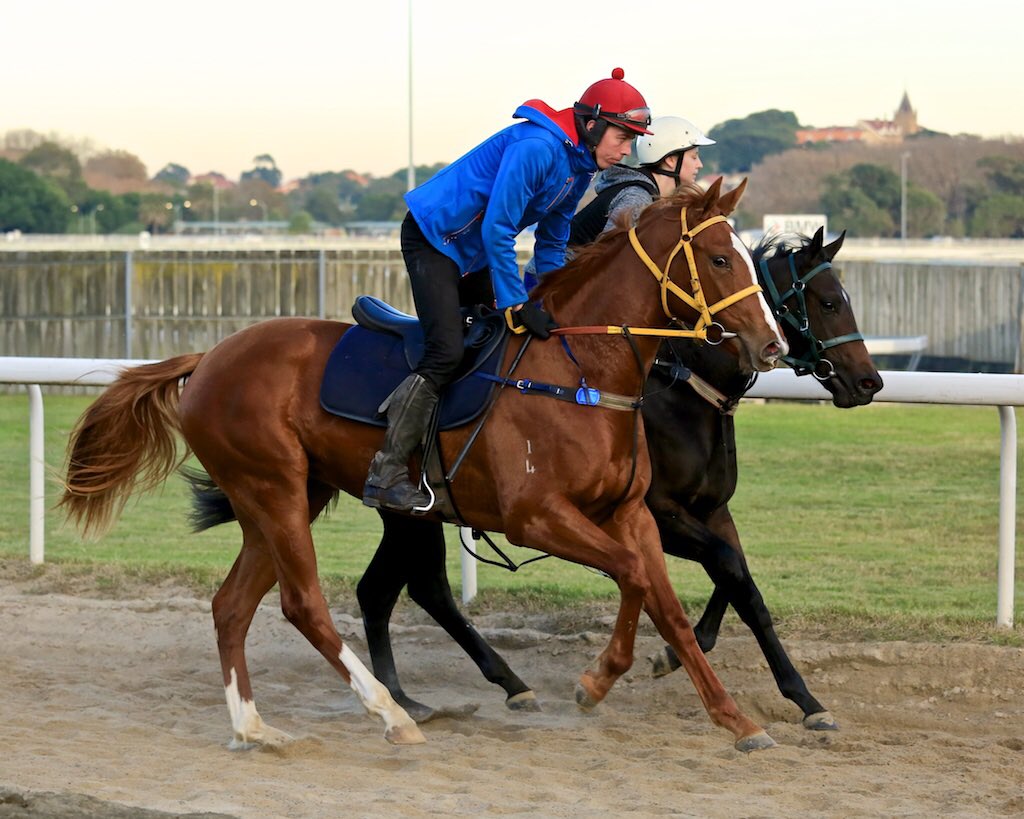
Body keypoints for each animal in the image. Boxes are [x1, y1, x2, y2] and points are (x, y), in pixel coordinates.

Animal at [60, 179, 788, 752]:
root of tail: (207, 357)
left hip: (285, 494)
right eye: (720, 258)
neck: (579, 369)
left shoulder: (631, 512)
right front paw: (596, 678)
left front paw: (737, 718)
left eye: (752, 259)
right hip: (273, 488)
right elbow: (634, 576)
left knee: (233, 605)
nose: (773, 345)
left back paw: (254, 728)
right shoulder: (536, 516)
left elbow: (665, 602)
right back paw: (391, 714)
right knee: (304, 603)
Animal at [345, 226, 881, 729]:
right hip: (415, 509)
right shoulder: (661, 513)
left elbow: (742, 584)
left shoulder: (710, 510)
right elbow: (727, 569)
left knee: (386, 589)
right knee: (423, 588)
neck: (684, 388)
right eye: (829, 303)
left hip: (415, 512)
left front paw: (804, 699)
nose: (869, 381)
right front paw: (672, 655)